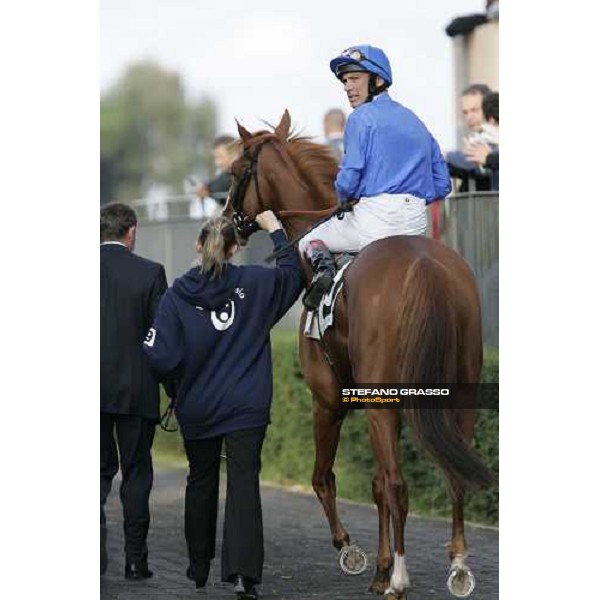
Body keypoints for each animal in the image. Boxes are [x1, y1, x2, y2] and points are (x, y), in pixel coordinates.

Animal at [225, 110, 496, 596]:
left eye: (237, 171)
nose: (226, 223)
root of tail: (426, 266)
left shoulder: (328, 401)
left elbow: (325, 478)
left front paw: (354, 553)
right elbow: (373, 484)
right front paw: (379, 567)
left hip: (381, 404)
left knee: (398, 483)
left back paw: (402, 579)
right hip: (460, 393)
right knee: (453, 473)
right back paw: (458, 567)